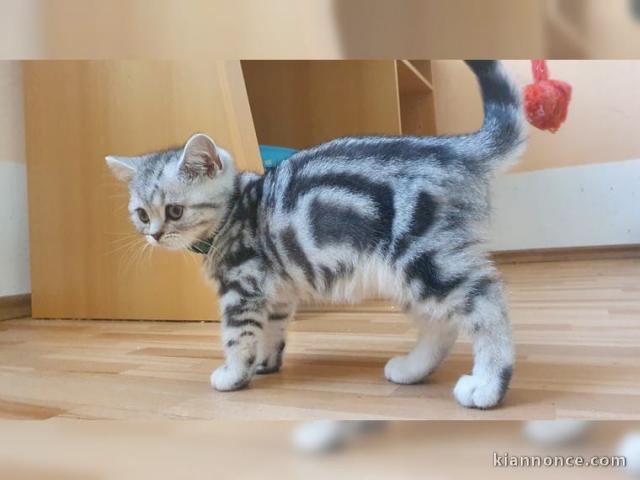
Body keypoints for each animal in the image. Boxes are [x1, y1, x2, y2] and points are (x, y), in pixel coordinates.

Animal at [106, 58, 524, 406]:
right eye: (141, 214)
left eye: (174, 211)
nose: (154, 235)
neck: (237, 210)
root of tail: (450, 149)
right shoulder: (274, 292)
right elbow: (272, 329)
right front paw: (264, 362)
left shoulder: (242, 288)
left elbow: (237, 336)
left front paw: (233, 374)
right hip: (403, 273)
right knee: (441, 325)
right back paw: (411, 369)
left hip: (421, 255)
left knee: (486, 304)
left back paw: (488, 384)